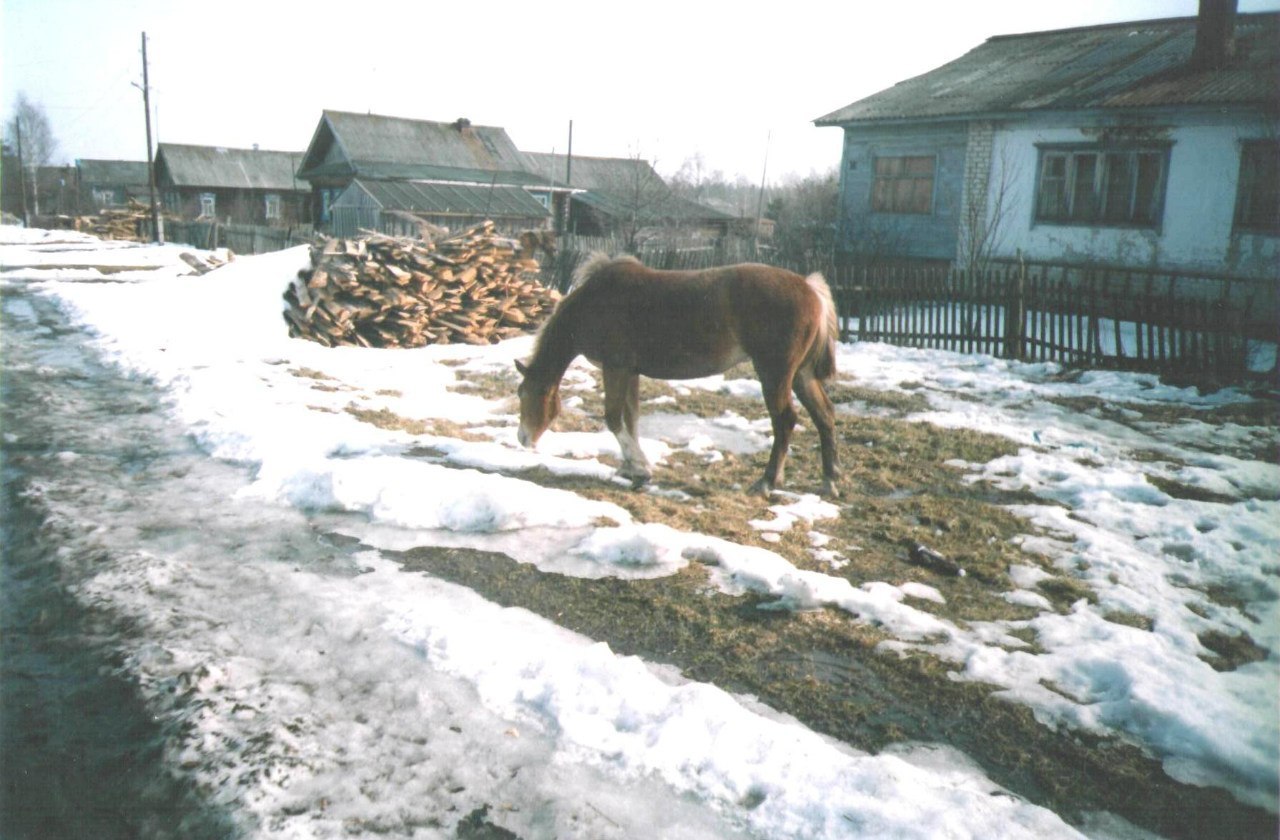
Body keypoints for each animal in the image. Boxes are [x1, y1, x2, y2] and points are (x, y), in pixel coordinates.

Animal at [514, 252, 844, 494]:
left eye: (524, 393)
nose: (522, 438)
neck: (595, 303)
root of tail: (810, 288)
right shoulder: (630, 372)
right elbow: (631, 419)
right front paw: (633, 470)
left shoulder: (616, 368)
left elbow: (613, 418)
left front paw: (638, 467)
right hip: (801, 375)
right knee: (824, 415)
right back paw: (830, 480)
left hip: (775, 374)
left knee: (785, 420)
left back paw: (767, 481)